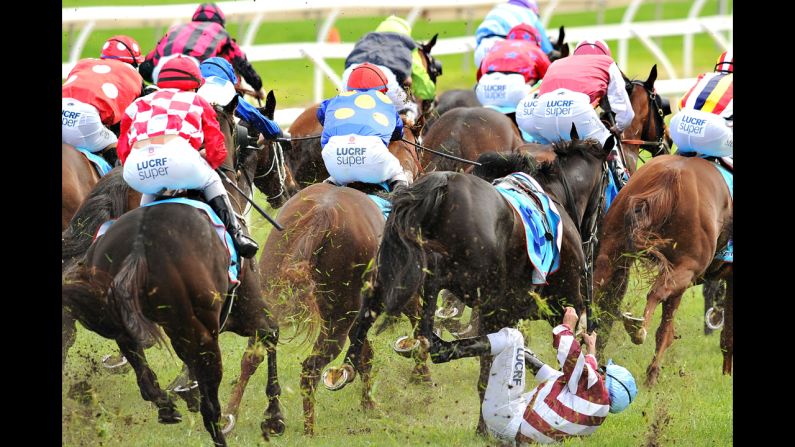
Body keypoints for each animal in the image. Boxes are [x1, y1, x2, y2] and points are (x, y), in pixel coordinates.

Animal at [258, 126, 426, 434]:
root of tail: (321, 215)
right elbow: (417, 326)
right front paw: (422, 375)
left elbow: (364, 355)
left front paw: (368, 403)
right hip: (336, 319)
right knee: (310, 370)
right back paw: (309, 432)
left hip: (275, 291)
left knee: (259, 347)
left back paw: (269, 415)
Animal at [326, 129, 612, 434]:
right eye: (607, 182)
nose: (592, 236)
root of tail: (441, 184)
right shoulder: (560, 303)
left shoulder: (502, 313)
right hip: (458, 275)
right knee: (430, 292)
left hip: (388, 274)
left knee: (368, 315)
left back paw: (349, 366)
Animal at [592, 155, 736, 384]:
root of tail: (669, 176)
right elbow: (727, 336)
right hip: (686, 267)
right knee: (656, 293)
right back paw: (638, 330)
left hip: (611, 250)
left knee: (596, 287)